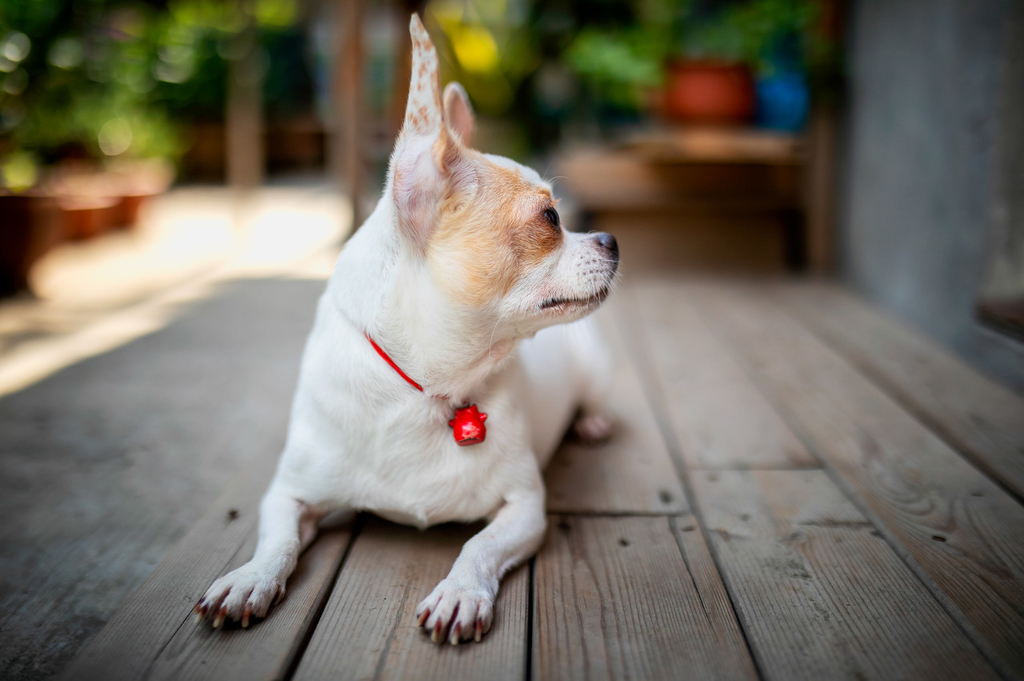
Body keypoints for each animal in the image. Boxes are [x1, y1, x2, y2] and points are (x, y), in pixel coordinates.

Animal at [195, 14, 618, 643]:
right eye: (550, 219)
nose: (611, 239)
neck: (426, 387)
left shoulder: (524, 508)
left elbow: (478, 546)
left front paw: (461, 591)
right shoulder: (288, 494)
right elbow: (277, 540)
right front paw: (250, 578)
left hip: (598, 374)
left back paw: (592, 422)